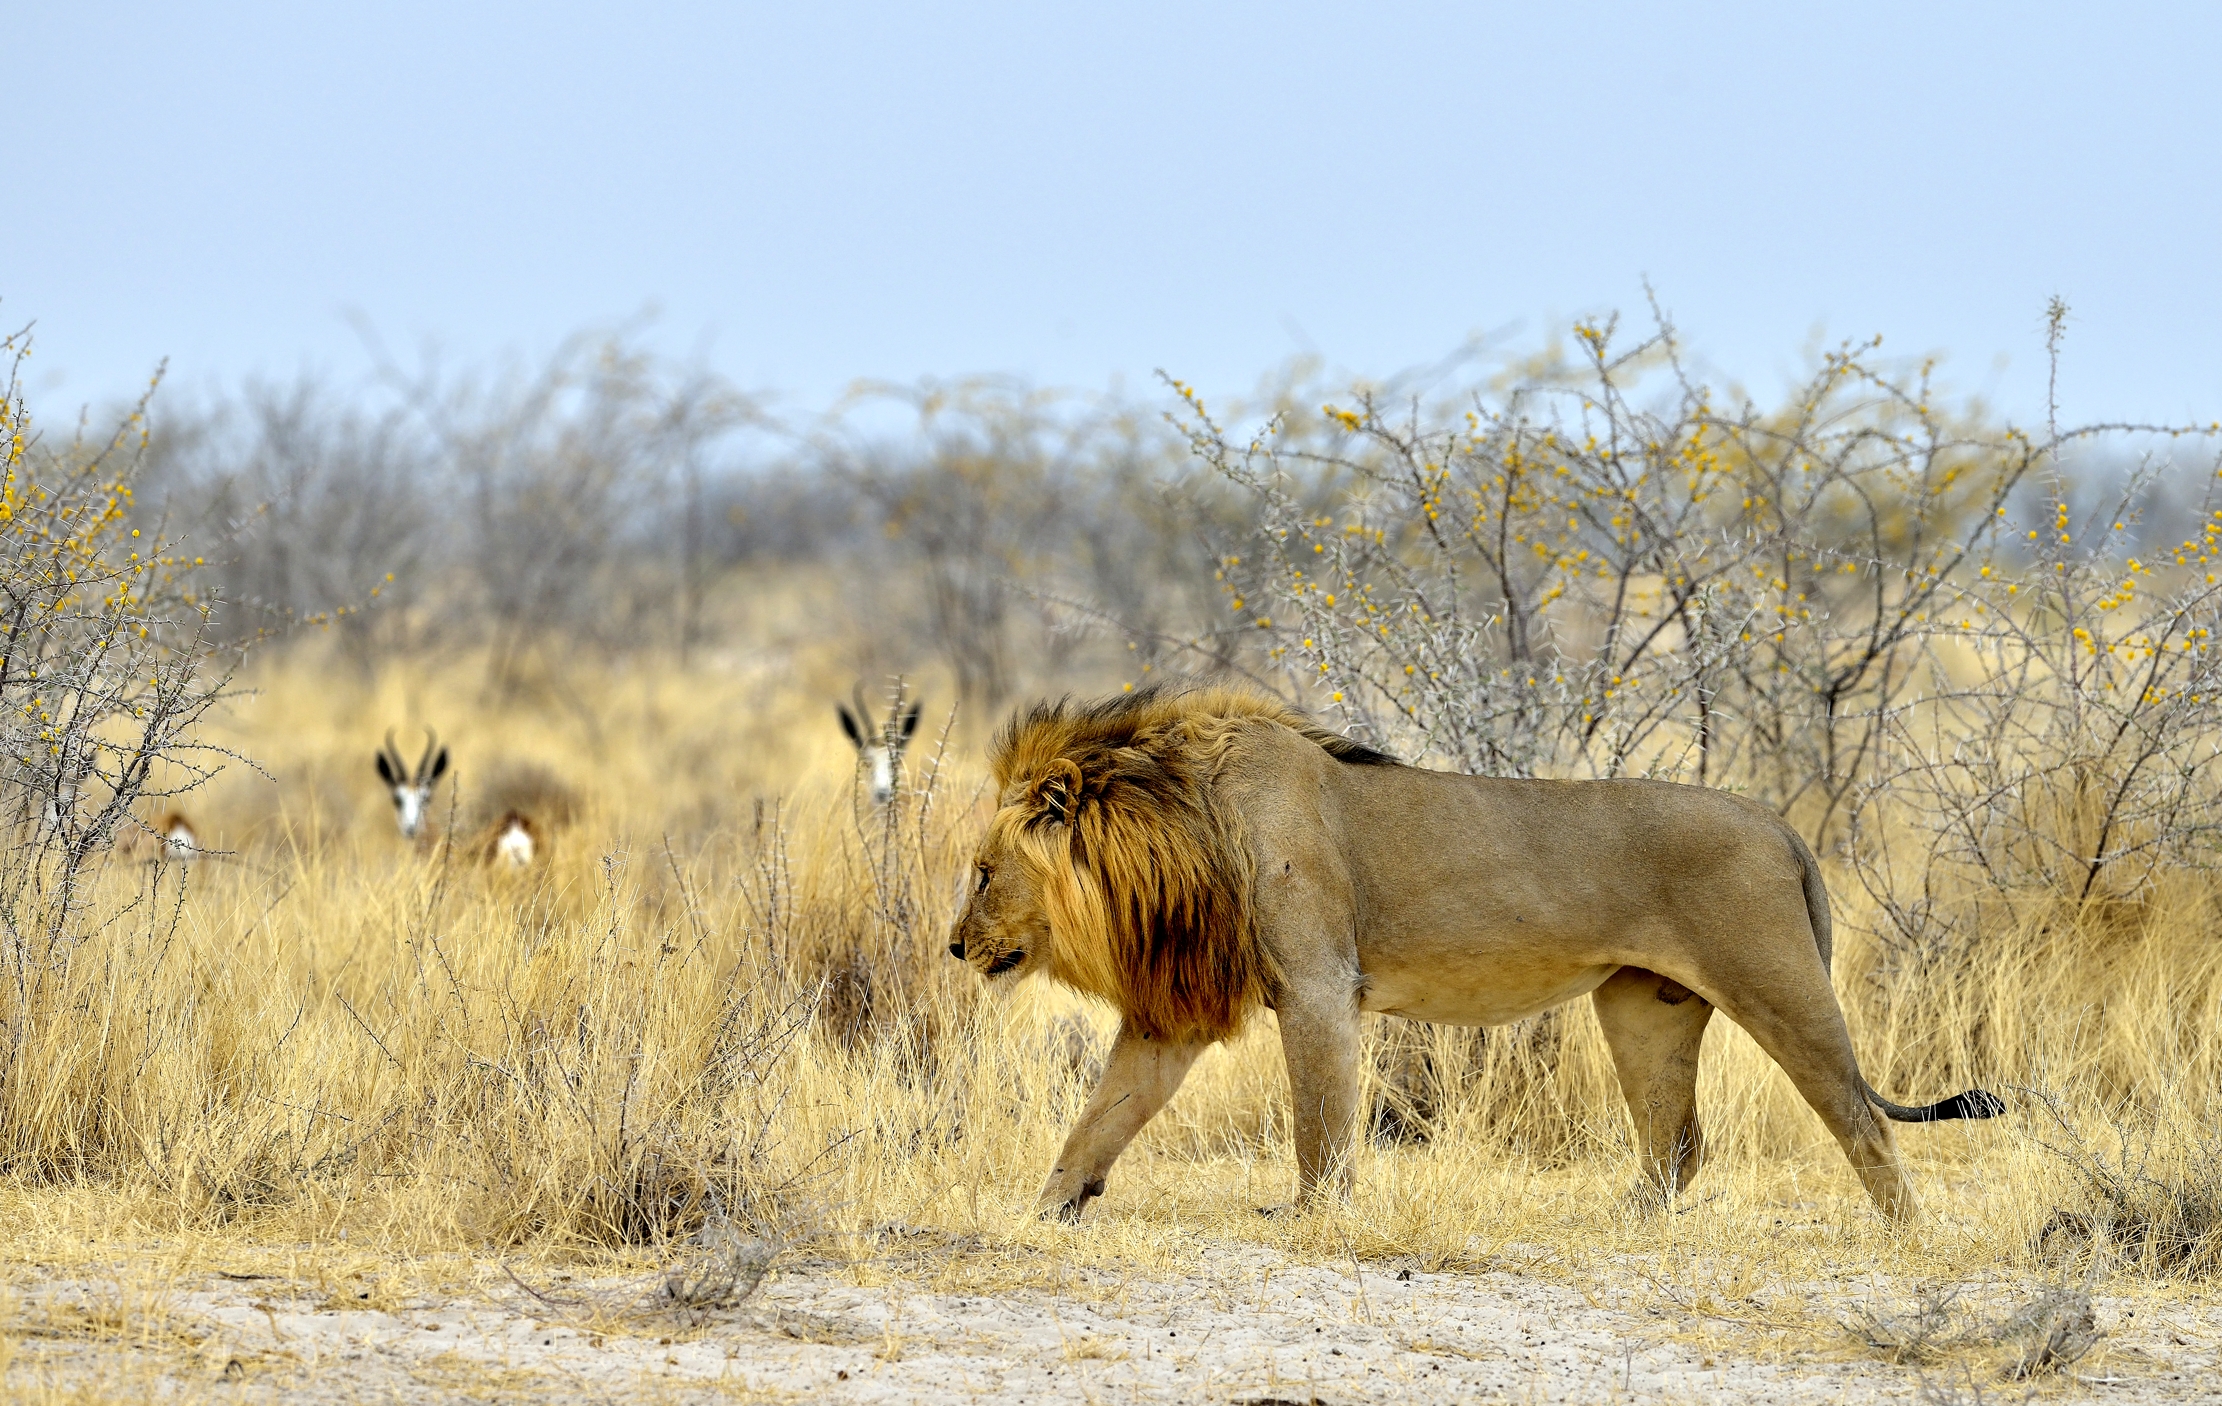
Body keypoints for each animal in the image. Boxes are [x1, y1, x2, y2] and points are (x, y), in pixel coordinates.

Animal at [947, 685, 2003, 1223]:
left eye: (984, 870)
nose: (954, 947)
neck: (1185, 820)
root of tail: (1782, 826)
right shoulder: (1174, 1015)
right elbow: (1103, 1115)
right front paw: (1047, 1207)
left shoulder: (1319, 987)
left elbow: (1320, 1125)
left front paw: (1315, 1220)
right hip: (1641, 1008)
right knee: (1679, 1144)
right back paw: (1613, 1224)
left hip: (1779, 986)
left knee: (1863, 1125)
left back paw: (1904, 1237)